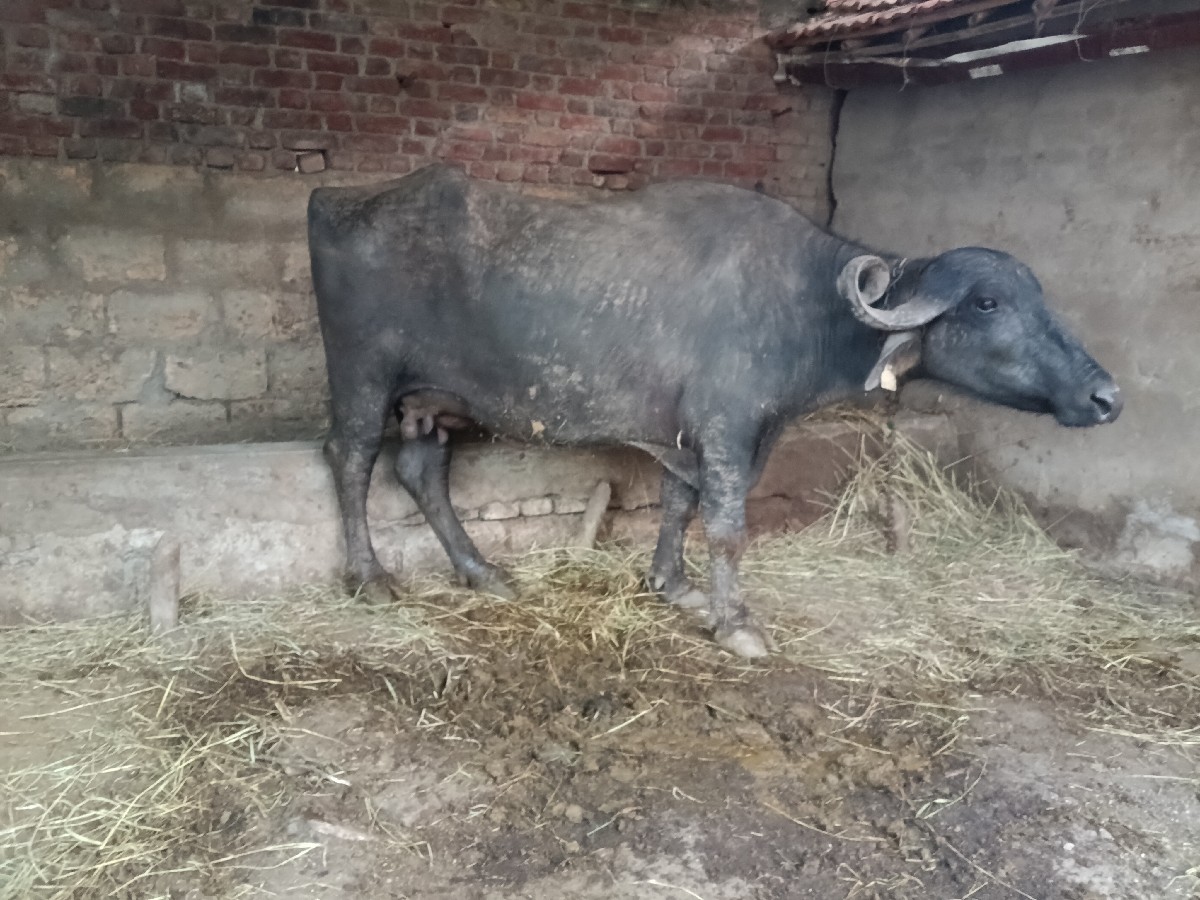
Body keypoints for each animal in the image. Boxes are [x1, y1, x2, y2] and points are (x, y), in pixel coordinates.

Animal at [307, 164, 1122, 659]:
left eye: (1038, 295)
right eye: (987, 303)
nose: (1106, 395)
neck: (805, 304)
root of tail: (336, 201)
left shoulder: (689, 435)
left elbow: (678, 504)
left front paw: (671, 584)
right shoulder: (729, 432)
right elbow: (727, 528)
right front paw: (736, 624)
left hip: (433, 400)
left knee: (422, 468)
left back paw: (482, 572)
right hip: (364, 377)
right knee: (350, 458)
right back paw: (371, 578)